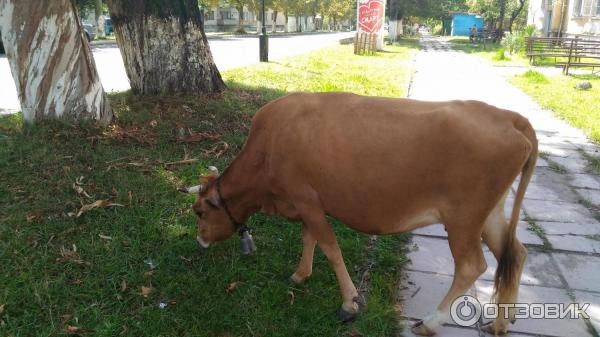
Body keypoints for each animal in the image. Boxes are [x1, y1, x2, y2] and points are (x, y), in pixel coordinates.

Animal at [180, 91, 536, 334]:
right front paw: (301, 273)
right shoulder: (307, 206)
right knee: (516, 253)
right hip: (490, 214)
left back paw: (431, 321)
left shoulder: (307, 201)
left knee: (472, 266)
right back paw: (502, 322)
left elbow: (330, 248)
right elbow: (309, 239)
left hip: (464, 218)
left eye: (199, 212)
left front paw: (349, 303)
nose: (199, 241)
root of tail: (507, 116)